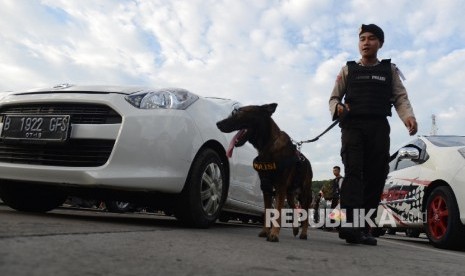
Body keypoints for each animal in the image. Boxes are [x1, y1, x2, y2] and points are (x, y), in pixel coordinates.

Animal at [217, 103, 312, 242]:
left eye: (238, 112)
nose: (218, 123)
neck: (268, 145)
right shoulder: (266, 188)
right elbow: (268, 213)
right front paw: (266, 231)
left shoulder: (279, 187)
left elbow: (277, 212)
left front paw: (274, 234)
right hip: (289, 194)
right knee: (295, 208)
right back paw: (295, 229)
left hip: (303, 194)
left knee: (304, 214)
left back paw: (304, 233)